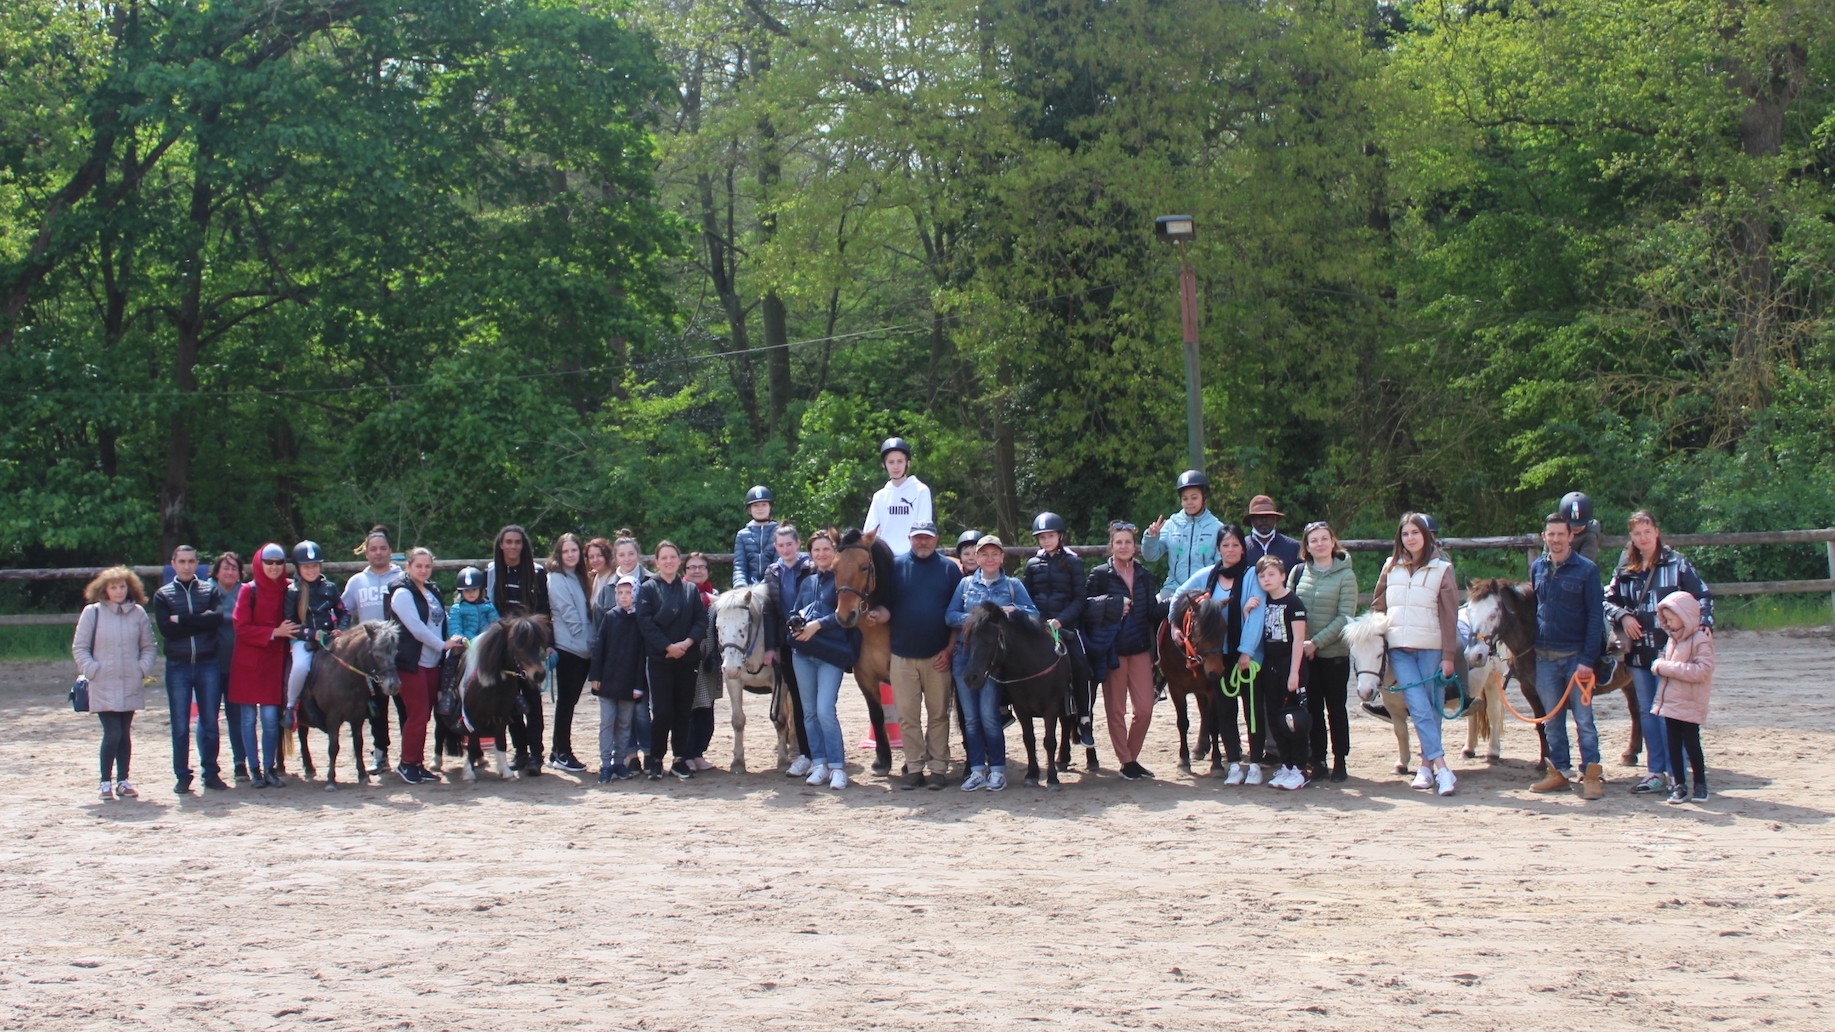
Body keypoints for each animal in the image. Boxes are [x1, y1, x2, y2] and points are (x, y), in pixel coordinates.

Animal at [297, 616, 401, 785]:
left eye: (395, 653)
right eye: (377, 655)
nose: (394, 685)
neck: (344, 675)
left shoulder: (357, 717)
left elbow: (358, 744)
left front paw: (363, 775)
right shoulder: (332, 718)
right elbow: (333, 748)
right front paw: (331, 780)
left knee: (301, 735)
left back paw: (307, 768)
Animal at [833, 528, 895, 771]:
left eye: (864, 567)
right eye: (834, 568)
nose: (844, 616)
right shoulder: (865, 677)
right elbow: (876, 714)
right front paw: (883, 759)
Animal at [961, 602, 1071, 785]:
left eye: (989, 640)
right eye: (969, 640)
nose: (970, 677)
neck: (1032, 665)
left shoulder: (1051, 706)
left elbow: (1049, 741)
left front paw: (1052, 778)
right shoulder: (1021, 708)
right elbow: (1028, 739)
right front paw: (1032, 774)